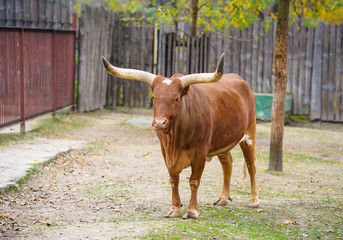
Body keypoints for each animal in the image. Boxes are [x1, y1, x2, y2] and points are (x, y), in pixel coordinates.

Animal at [102, 54, 260, 219]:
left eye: (176, 98)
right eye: (154, 97)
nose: (159, 123)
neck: (176, 139)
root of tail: (242, 82)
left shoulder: (200, 153)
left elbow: (194, 181)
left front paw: (192, 210)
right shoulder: (166, 153)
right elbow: (174, 180)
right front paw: (175, 209)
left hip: (249, 134)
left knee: (251, 165)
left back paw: (254, 200)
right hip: (222, 140)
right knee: (227, 163)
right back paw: (223, 198)